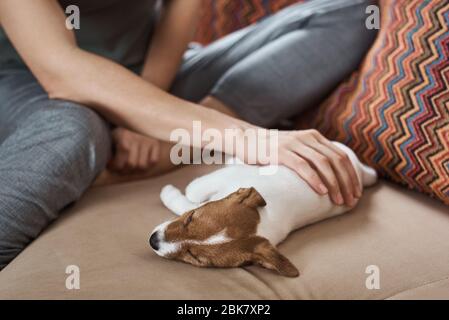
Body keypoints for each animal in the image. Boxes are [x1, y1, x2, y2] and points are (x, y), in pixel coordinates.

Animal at [149, 142, 376, 278]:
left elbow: (191, 193)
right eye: (190, 220)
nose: (153, 241)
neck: (265, 219)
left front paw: (167, 192)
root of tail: (360, 171)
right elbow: (193, 196)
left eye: (195, 257)